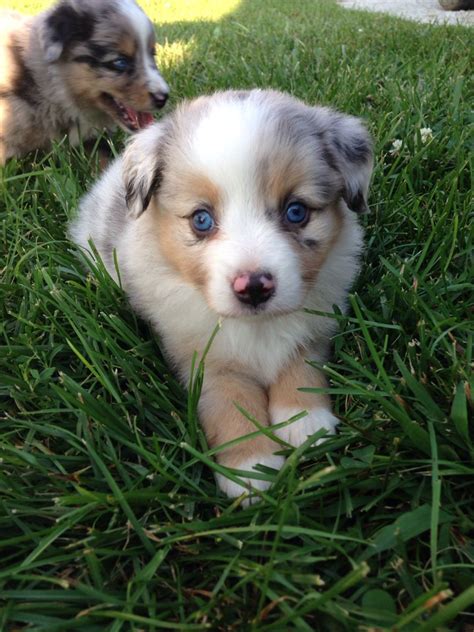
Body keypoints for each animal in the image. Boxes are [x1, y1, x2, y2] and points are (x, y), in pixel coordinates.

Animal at [70, 89, 374, 502]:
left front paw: (303, 418)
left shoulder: (317, 321)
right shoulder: (203, 358)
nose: (255, 287)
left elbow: (302, 361)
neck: (257, 327)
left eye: (296, 211)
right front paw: (250, 466)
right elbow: (228, 401)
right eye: (202, 219)